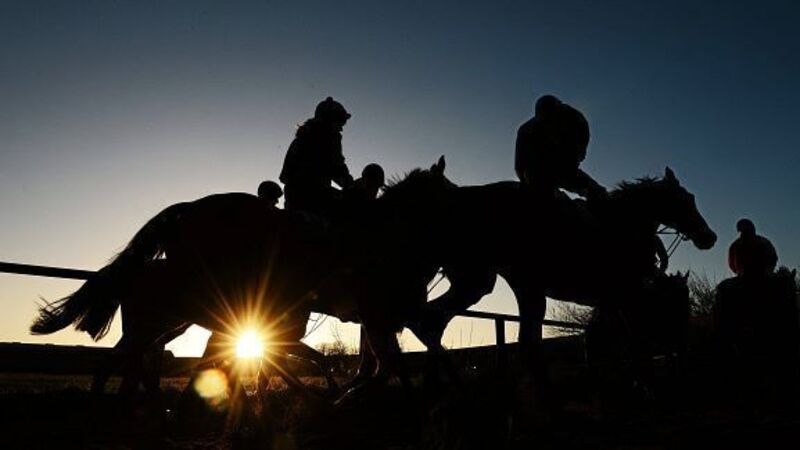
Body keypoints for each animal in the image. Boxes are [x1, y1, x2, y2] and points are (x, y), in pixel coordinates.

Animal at [30, 158, 454, 397]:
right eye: (450, 192)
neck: (385, 233)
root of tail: (189, 209)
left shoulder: (385, 313)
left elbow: (401, 354)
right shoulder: (382, 309)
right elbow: (394, 356)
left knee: (144, 349)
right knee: (142, 349)